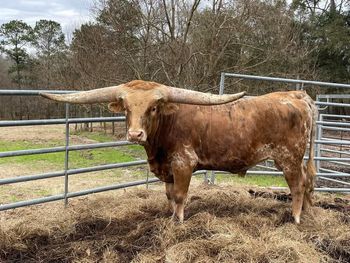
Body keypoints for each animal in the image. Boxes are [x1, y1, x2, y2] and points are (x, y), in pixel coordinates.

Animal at [41, 80, 318, 225]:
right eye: (127, 107)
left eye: (153, 107)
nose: (135, 134)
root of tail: (297, 95)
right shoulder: (167, 170)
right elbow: (169, 195)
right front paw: (170, 215)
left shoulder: (183, 163)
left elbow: (181, 195)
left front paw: (179, 221)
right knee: (307, 184)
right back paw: (307, 213)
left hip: (288, 158)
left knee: (297, 186)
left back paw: (295, 218)